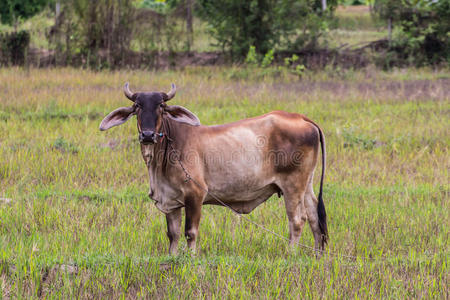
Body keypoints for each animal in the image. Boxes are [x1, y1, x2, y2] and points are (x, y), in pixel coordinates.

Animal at [100, 82, 328, 255]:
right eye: (137, 106)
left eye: (162, 106)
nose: (147, 135)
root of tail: (301, 118)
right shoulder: (171, 201)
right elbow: (173, 235)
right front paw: (172, 258)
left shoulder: (195, 194)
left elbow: (190, 232)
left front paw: (190, 259)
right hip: (306, 184)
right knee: (314, 216)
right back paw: (317, 255)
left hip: (292, 186)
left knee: (297, 220)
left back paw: (290, 255)